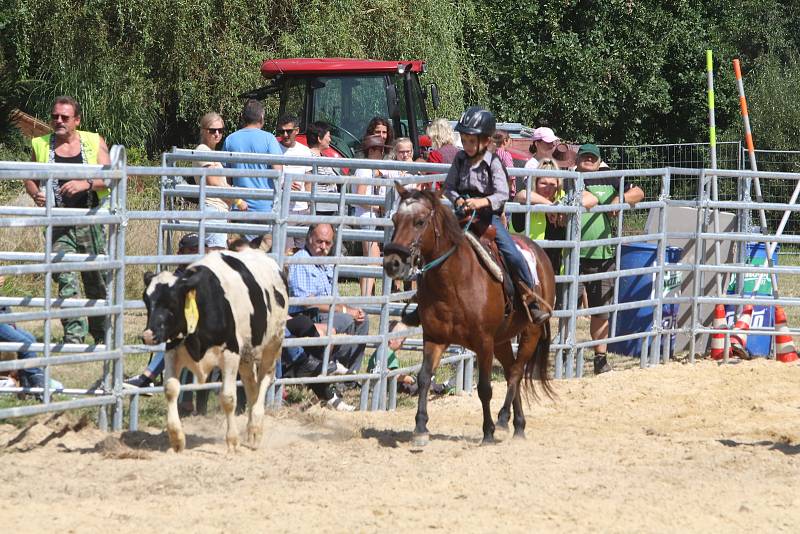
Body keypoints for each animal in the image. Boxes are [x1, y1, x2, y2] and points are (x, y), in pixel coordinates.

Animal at [142, 249, 290, 454]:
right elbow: (171, 389)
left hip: (273, 342)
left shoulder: (230, 354)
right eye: (146, 301)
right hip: (246, 354)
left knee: (264, 379)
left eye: (172, 302)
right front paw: (177, 439)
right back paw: (250, 428)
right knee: (251, 384)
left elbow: (228, 398)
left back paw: (255, 429)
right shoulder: (172, 351)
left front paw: (232, 441)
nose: (148, 335)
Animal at [384, 186, 552, 446]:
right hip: (501, 340)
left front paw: (488, 432)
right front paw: (420, 428)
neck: (453, 281)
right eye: (395, 219)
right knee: (510, 369)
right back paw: (518, 424)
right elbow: (424, 378)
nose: (392, 263)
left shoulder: (484, 342)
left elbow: (484, 388)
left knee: (515, 373)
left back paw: (502, 419)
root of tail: (539, 253)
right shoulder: (434, 338)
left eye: (419, 221)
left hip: (530, 332)